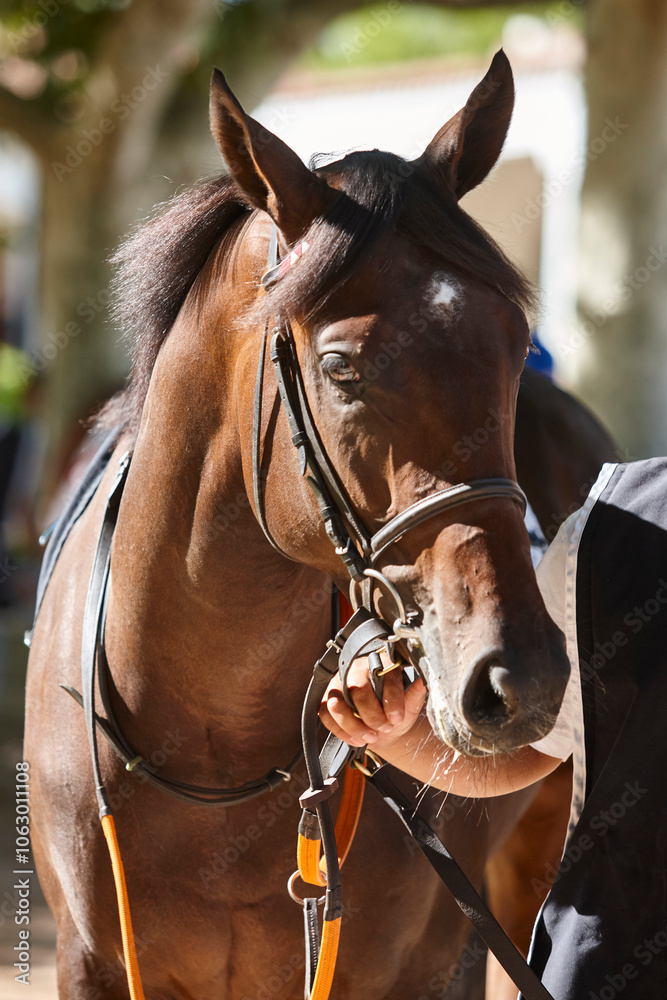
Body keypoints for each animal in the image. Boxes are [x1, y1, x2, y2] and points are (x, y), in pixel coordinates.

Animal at [24, 51, 610, 1000]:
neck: (210, 739)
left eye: (515, 341)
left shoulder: (425, 961)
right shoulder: (89, 963)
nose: (518, 675)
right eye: (340, 368)